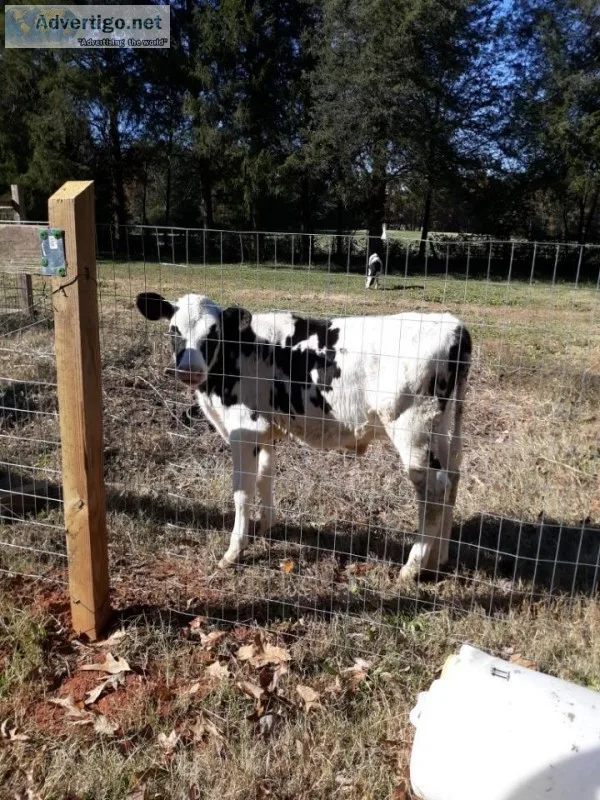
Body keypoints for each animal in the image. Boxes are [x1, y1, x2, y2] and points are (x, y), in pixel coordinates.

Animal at [136, 292, 471, 580]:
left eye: (213, 332)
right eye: (174, 330)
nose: (189, 370)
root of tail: (454, 325)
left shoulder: (244, 429)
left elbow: (242, 490)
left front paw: (234, 551)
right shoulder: (267, 430)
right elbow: (265, 475)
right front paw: (266, 528)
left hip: (413, 429)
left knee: (434, 491)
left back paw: (411, 568)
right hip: (441, 428)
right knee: (452, 479)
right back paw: (438, 560)